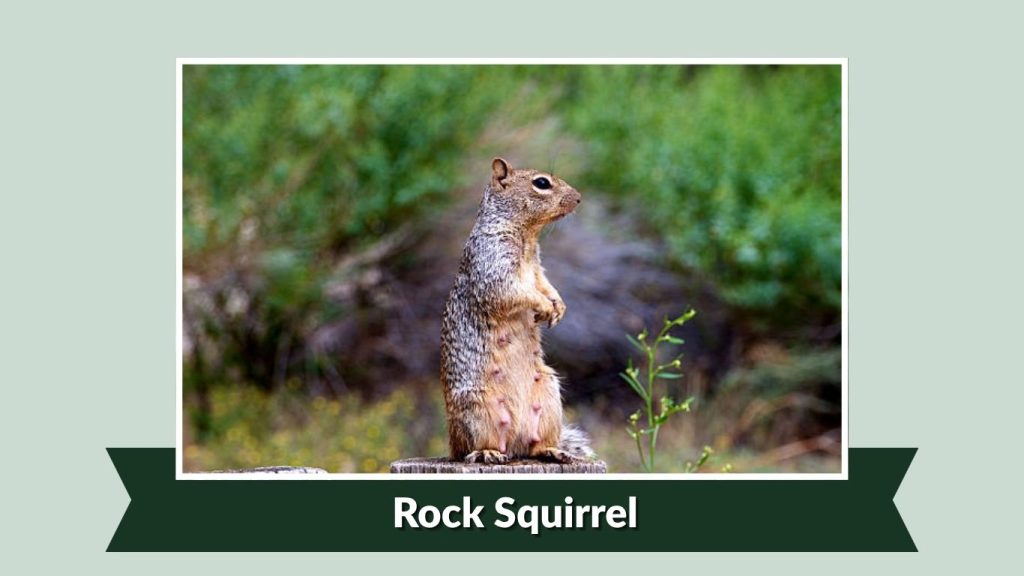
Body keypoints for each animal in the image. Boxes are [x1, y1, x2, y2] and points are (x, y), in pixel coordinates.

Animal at [441, 157, 593, 464]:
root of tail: (514, 446)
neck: (527, 236)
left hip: (549, 396)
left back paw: (552, 450)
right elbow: (514, 293)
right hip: (477, 411)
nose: (579, 198)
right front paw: (543, 306)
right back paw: (486, 452)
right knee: (473, 447)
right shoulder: (493, 265)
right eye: (542, 182)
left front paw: (558, 306)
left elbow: (545, 285)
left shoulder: (536, 268)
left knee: (536, 445)